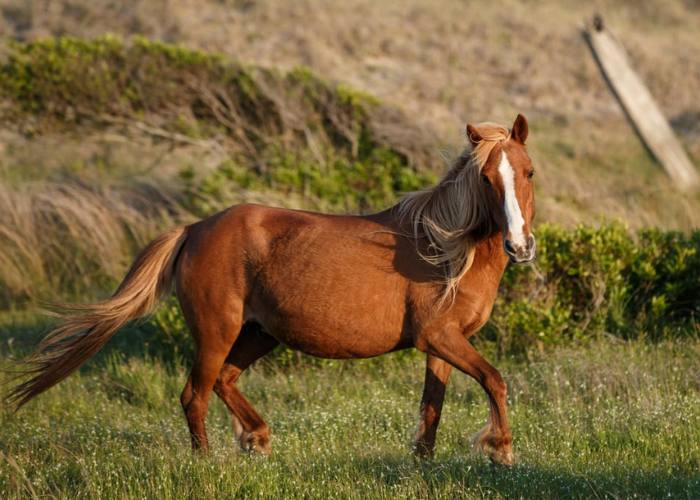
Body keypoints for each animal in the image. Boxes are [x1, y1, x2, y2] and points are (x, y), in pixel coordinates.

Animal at [7, 114, 536, 466]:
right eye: (485, 177)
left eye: (528, 172)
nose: (519, 245)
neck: (445, 249)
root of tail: (194, 229)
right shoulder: (439, 337)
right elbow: (495, 379)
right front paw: (501, 451)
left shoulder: (441, 344)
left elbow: (432, 407)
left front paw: (422, 465)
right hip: (217, 332)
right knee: (194, 394)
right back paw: (206, 465)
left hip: (260, 333)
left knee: (223, 381)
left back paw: (257, 438)